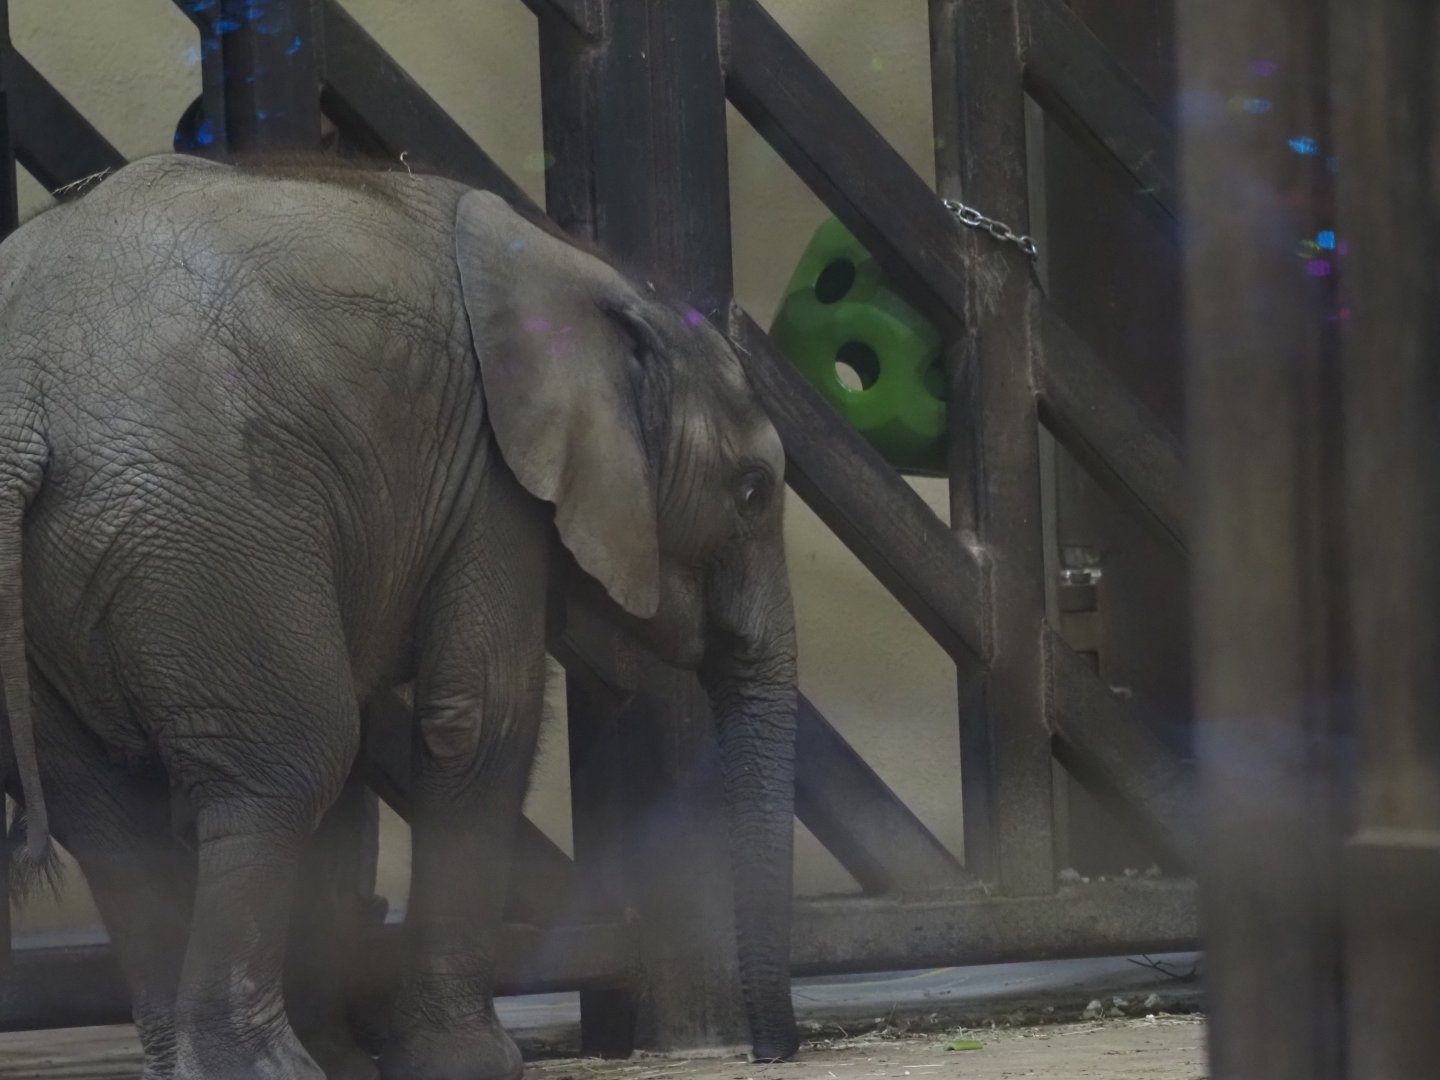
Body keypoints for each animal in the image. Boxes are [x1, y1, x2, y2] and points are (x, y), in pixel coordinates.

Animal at [0, 153, 799, 1080]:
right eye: (752, 492)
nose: (773, 1052)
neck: (588, 273)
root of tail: (22, 404)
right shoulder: (491, 482)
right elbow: (481, 718)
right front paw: (473, 1064)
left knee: (107, 816)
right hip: (203, 522)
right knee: (285, 766)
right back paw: (268, 1070)